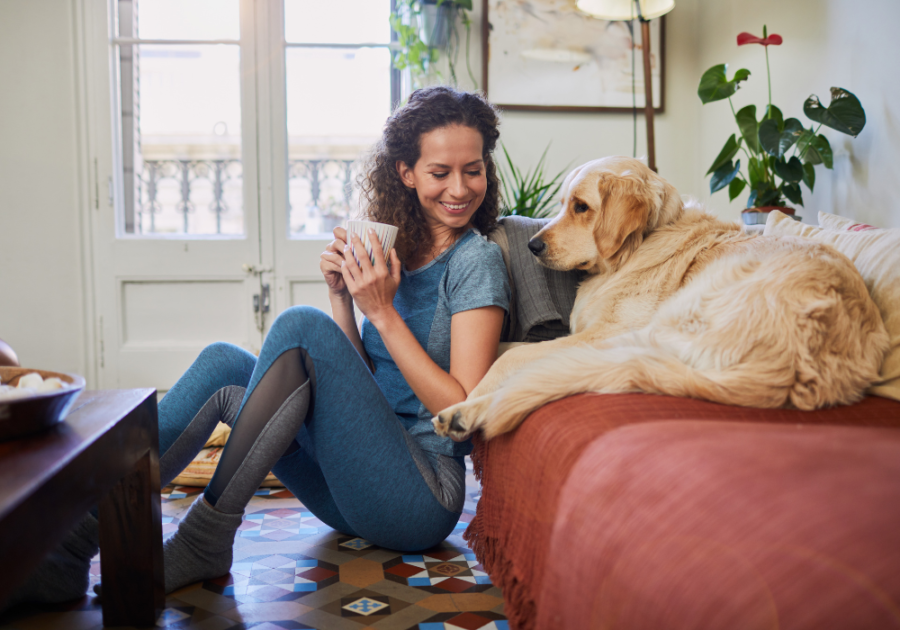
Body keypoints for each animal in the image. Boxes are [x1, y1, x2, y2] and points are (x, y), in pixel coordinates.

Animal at [432, 157, 888, 444]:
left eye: (581, 207)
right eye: (562, 205)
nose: (532, 246)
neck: (638, 246)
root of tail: (787, 366)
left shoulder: (602, 333)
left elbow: (513, 357)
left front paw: (469, 396)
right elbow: (509, 346)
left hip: (654, 331)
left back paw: (464, 412)